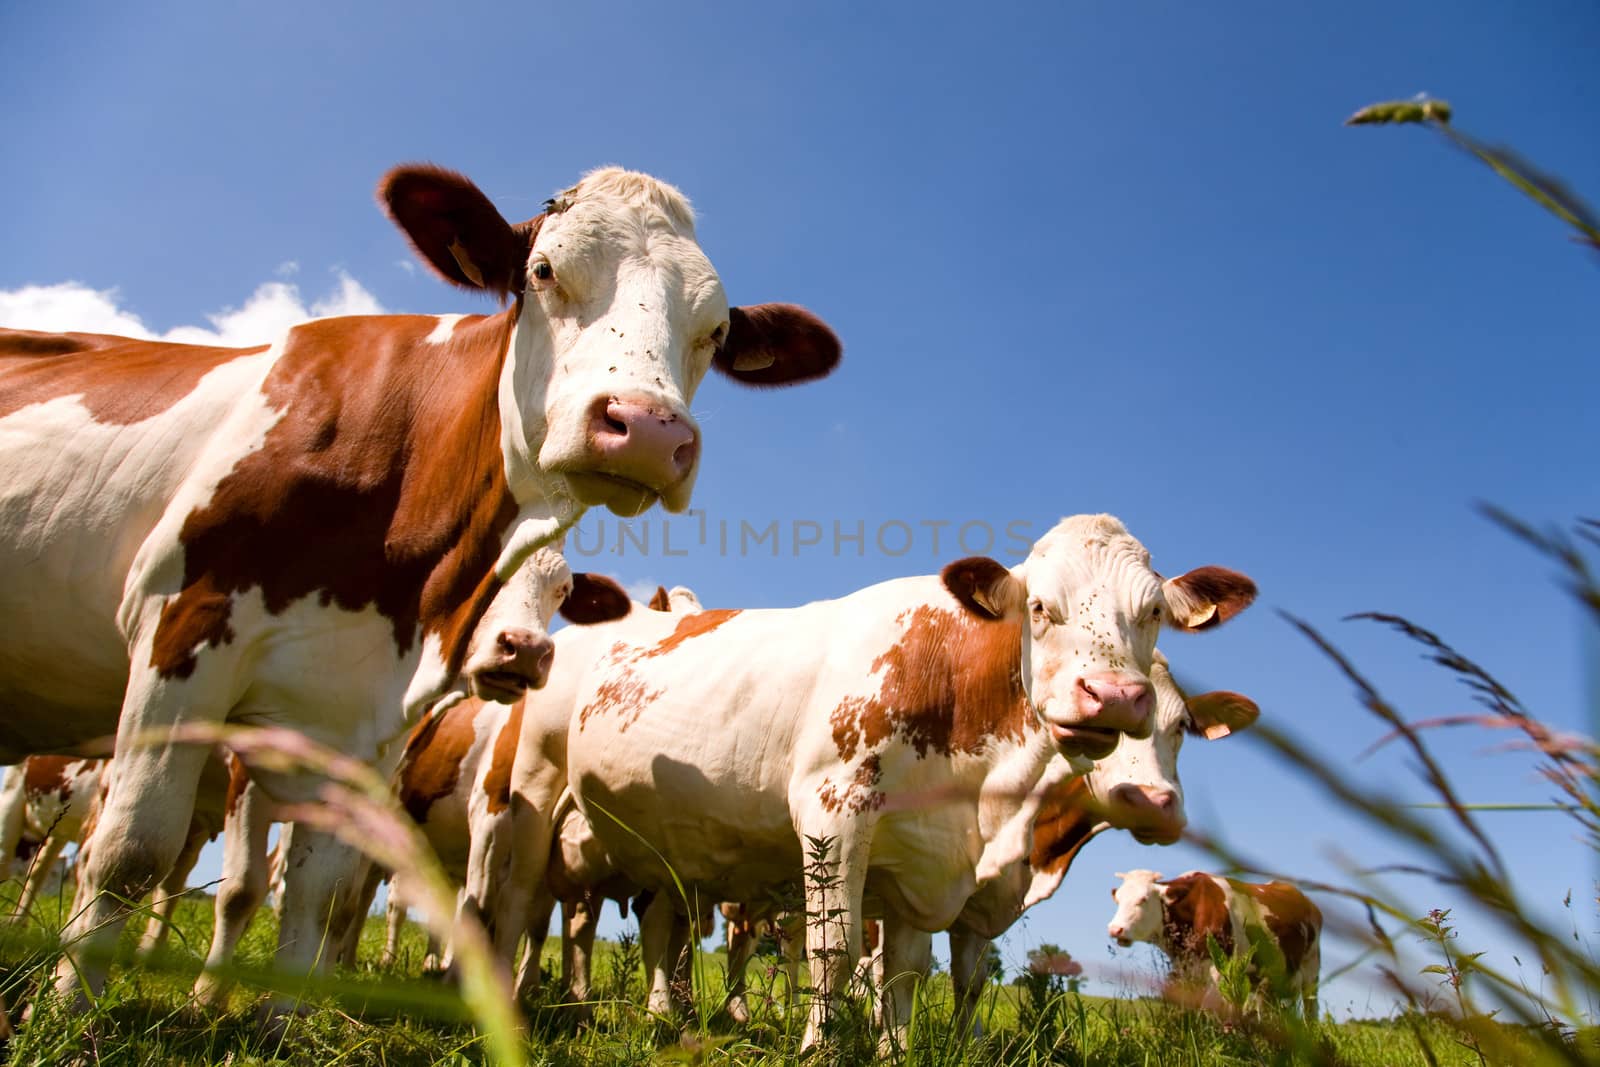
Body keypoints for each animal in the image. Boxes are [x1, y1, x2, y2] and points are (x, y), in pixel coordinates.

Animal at [0, 160, 844, 1011]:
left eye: (716, 331)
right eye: (544, 271)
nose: (644, 429)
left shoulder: (367, 723)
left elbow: (320, 888)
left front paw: (276, 1018)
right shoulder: (185, 630)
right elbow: (136, 854)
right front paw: (80, 1012)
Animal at [505, 511, 1254, 1049]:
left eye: (1153, 613)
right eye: (1040, 607)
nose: (1114, 698)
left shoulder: (921, 864)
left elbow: (909, 971)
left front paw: (894, 1049)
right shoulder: (832, 810)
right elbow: (834, 953)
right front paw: (822, 1048)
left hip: (674, 851)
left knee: (663, 923)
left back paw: (665, 1019)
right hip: (532, 786)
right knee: (519, 899)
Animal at [1107, 870, 1318, 1017]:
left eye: (1143, 899)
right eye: (1118, 900)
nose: (1115, 929)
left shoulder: (1222, 970)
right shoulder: (1186, 969)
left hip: (1311, 970)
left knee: (1310, 1010)